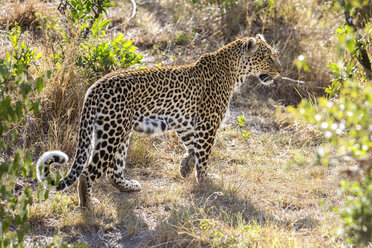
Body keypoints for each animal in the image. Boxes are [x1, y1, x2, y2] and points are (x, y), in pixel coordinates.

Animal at [37, 34, 282, 210]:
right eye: (268, 57)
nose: (280, 71)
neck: (234, 70)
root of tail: (95, 86)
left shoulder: (185, 122)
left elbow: (191, 147)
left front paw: (185, 167)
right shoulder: (208, 123)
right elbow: (203, 154)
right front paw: (205, 181)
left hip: (116, 131)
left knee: (113, 170)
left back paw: (128, 186)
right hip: (113, 132)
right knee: (88, 172)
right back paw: (88, 206)